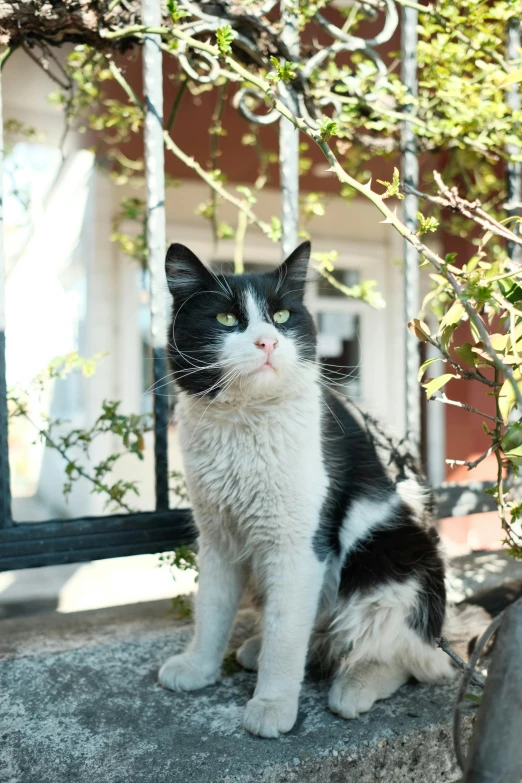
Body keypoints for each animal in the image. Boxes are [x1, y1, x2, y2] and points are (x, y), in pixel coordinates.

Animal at [157, 242, 460, 740]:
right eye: (226, 319)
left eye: (281, 316)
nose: (267, 342)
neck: (244, 422)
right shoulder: (217, 538)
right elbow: (212, 608)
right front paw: (199, 667)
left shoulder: (298, 546)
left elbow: (286, 637)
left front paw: (272, 706)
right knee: (320, 636)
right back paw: (260, 649)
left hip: (393, 555)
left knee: (410, 656)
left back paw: (353, 686)